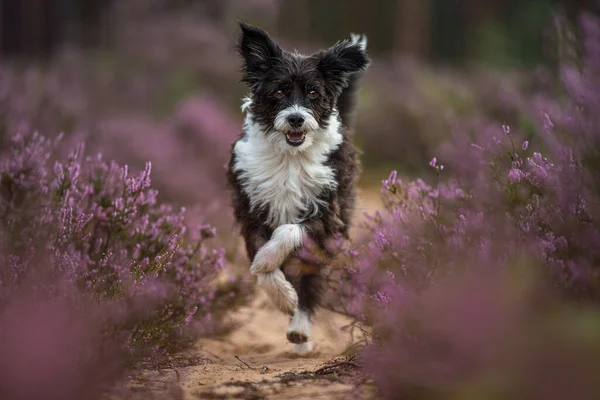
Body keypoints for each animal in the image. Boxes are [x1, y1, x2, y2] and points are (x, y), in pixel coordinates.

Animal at [227, 23, 368, 352]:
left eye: (313, 92)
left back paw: (300, 329)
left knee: (310, 279)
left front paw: (270, 259)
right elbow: (260, 263)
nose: (295, 118)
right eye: (279, 91)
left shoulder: (329, 218)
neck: (289, 158)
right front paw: (280, 294)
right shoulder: (252, 212)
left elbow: (288, 230)